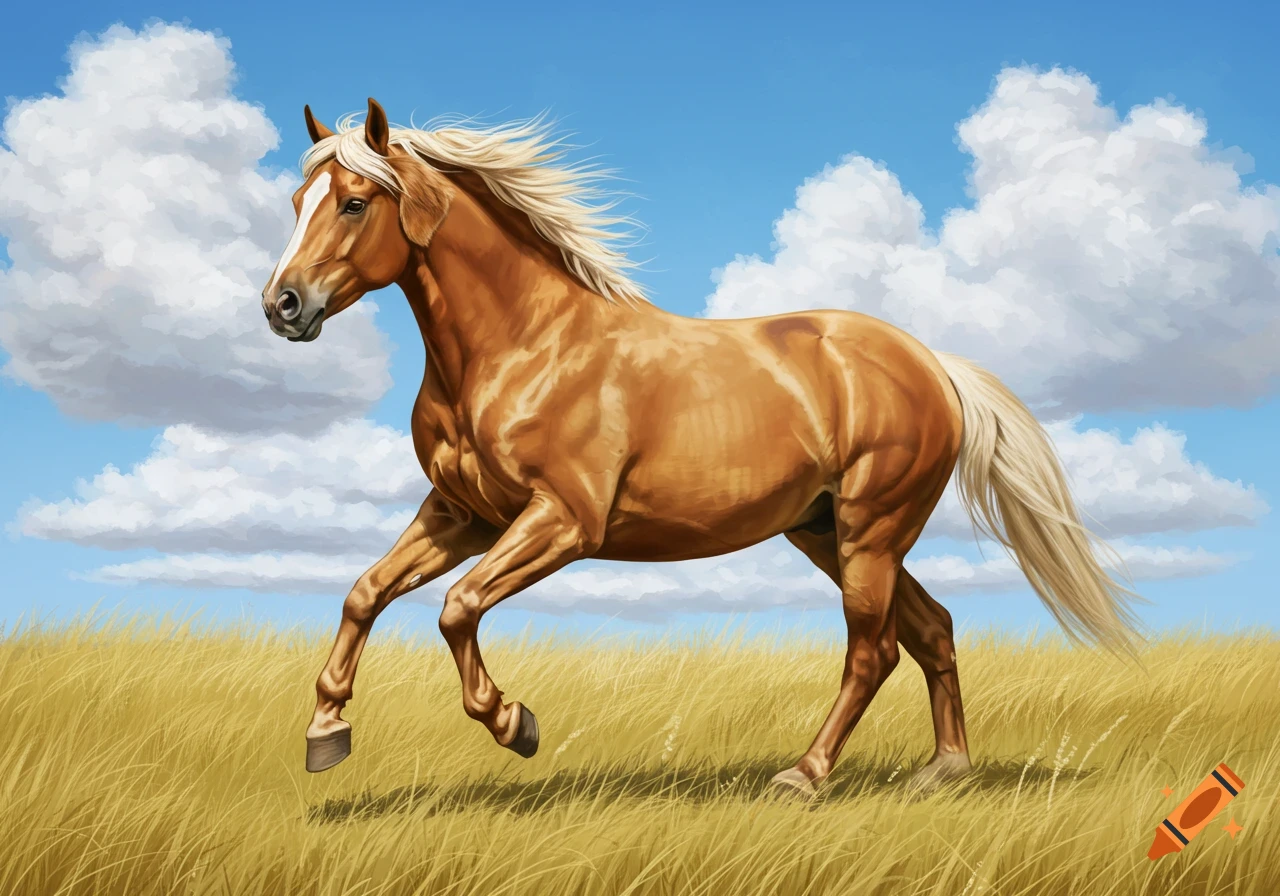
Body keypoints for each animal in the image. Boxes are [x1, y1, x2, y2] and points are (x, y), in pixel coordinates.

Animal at [261, 98, 1141, 799]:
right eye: (299, 200)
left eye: (354, 203)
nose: (282, 305)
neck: (522, 345)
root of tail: (932, 364)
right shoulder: (461, 515)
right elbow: (365, 594)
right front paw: (325, 734)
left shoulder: (562, 521)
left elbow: (458, 607)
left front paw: (515, 723)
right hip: (826, 531)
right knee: (934, 629)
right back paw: (943, 771)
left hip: (872, 531)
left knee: (874, 650)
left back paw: (803, 776)